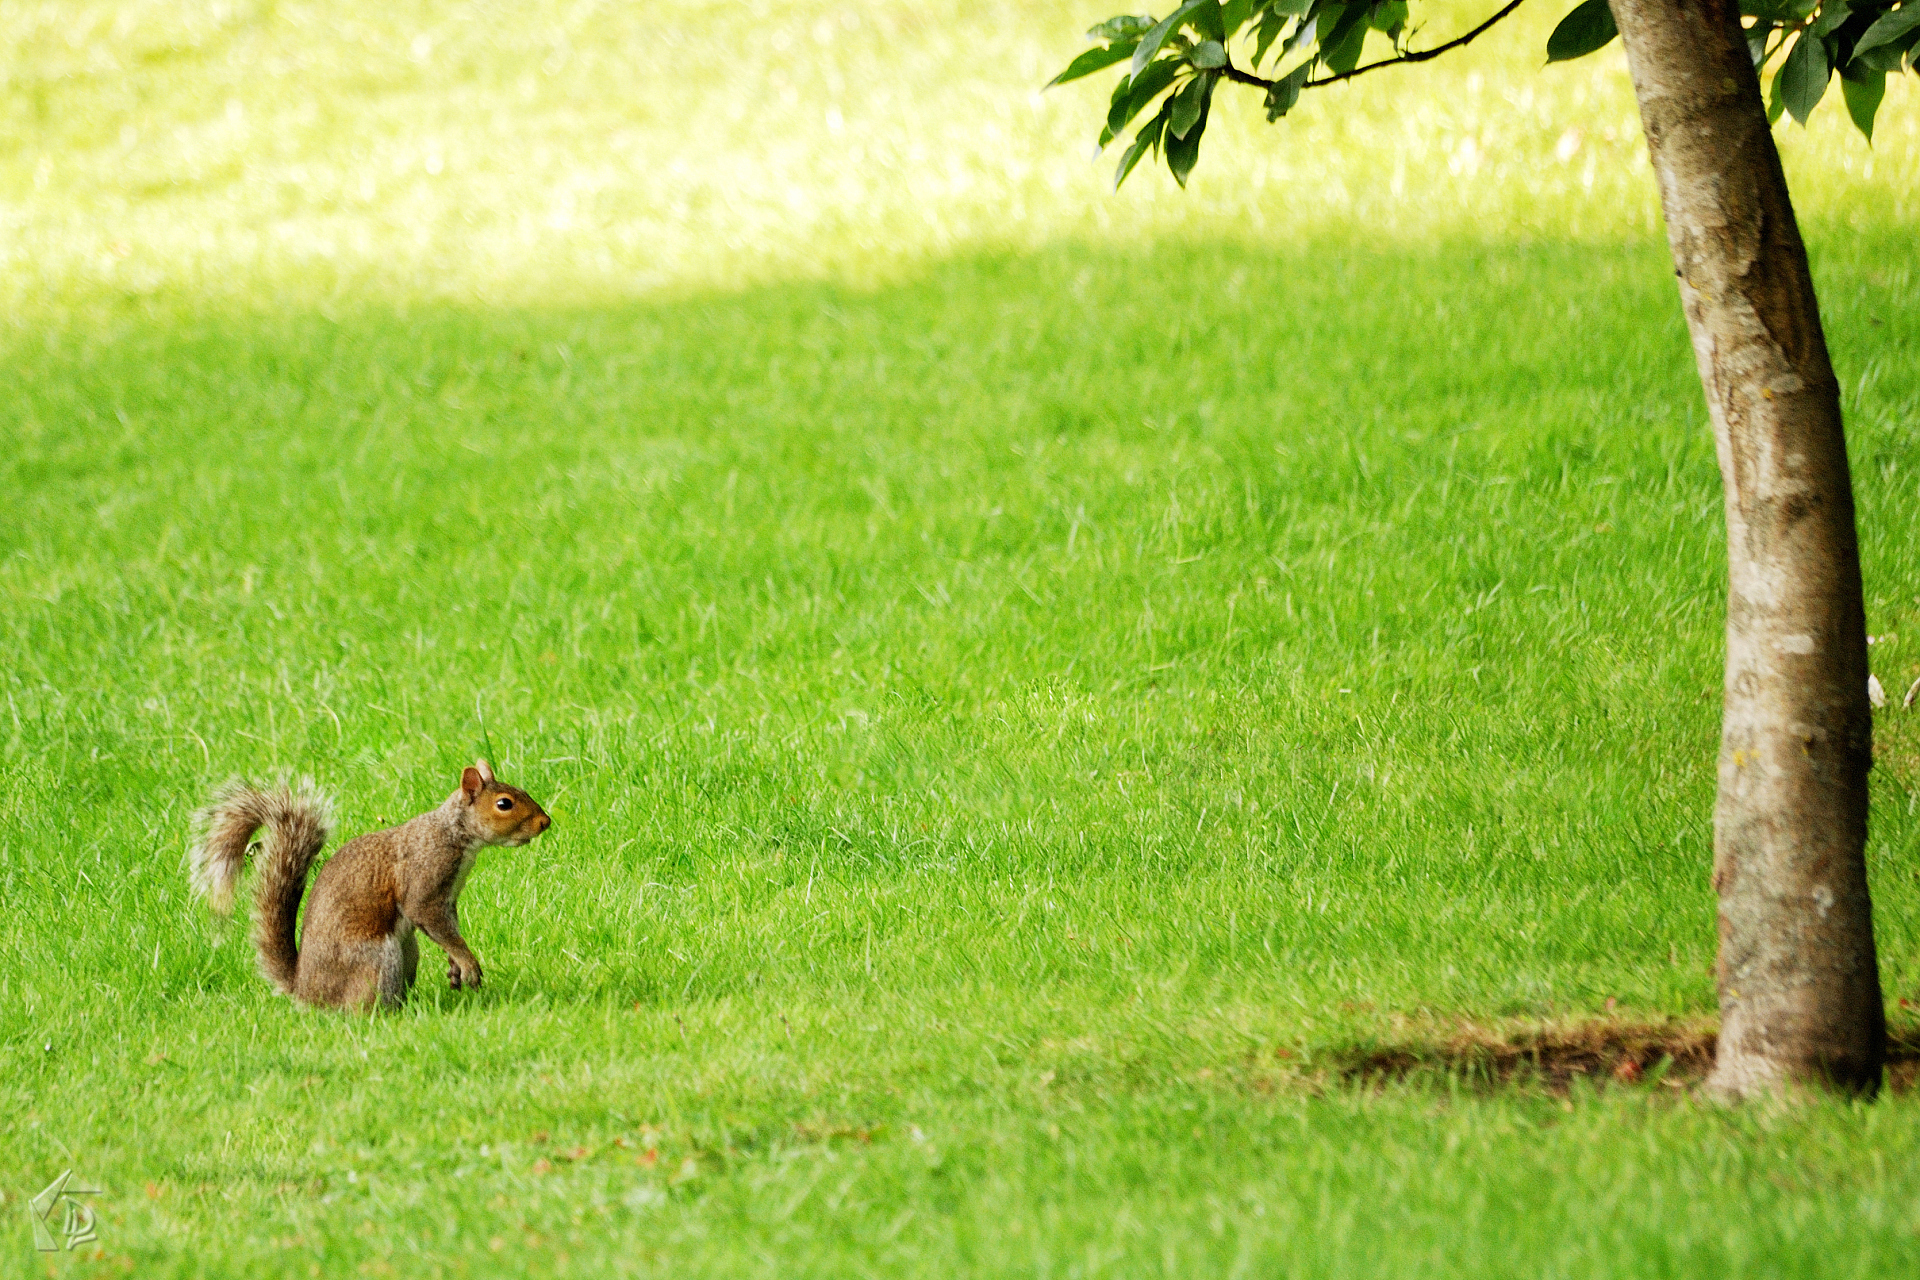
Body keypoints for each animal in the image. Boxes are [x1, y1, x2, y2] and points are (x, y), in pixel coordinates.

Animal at [187, 760, 551, 1010]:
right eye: (504, 803)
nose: (545, 822)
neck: (453, 833)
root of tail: (306, 991)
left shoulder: (448, 898)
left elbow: (448, 931)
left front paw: (455, 967)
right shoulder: (424, 883)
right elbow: (434, 921)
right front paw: (468, 963)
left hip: (406, 951)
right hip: (377, 957)